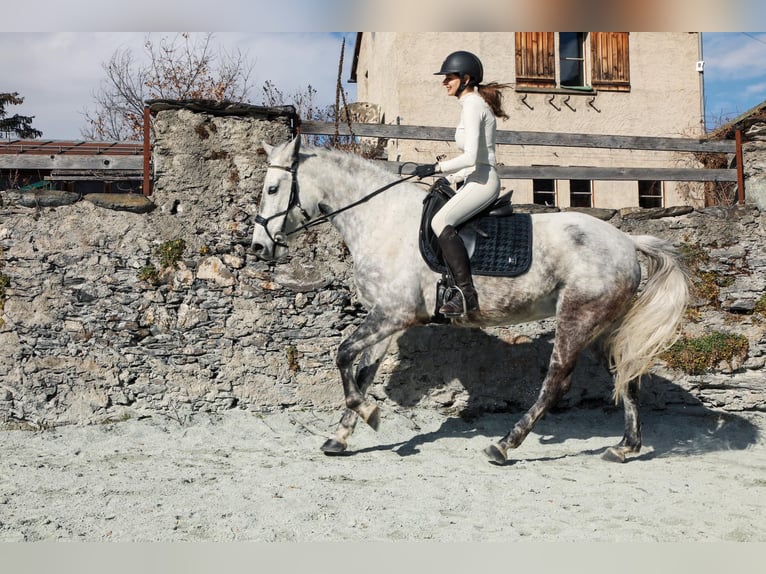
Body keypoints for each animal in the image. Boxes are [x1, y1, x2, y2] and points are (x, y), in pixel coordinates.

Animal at [250, 137, 688, 466]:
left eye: (272, 189)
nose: (258, 248)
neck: (381, 219)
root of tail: (627, 241)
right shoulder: (386, 318)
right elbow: (362, 372)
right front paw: (341, 436)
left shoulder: (394, 314)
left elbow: (342, 355)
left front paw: (369, 414)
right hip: (601, 325)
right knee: (626, 373)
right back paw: (625, 447)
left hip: (577, 317)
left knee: (557, 379)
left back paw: (505, 444)